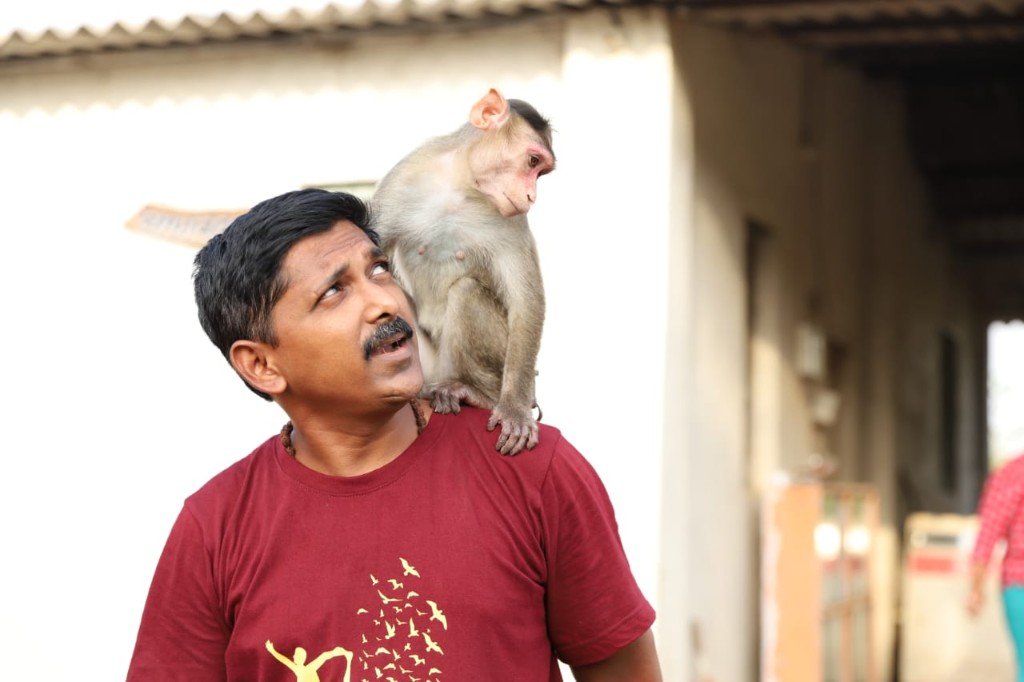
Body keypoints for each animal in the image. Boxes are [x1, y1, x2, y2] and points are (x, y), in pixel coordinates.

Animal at [370, 89, 555, 456]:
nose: (531, 196)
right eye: (532, 162)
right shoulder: (401, 180)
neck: (460, 185)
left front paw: (514, 409)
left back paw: (478, 394)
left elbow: (524, 300)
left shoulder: (511, 219)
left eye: (541, 172)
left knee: (466, 292)